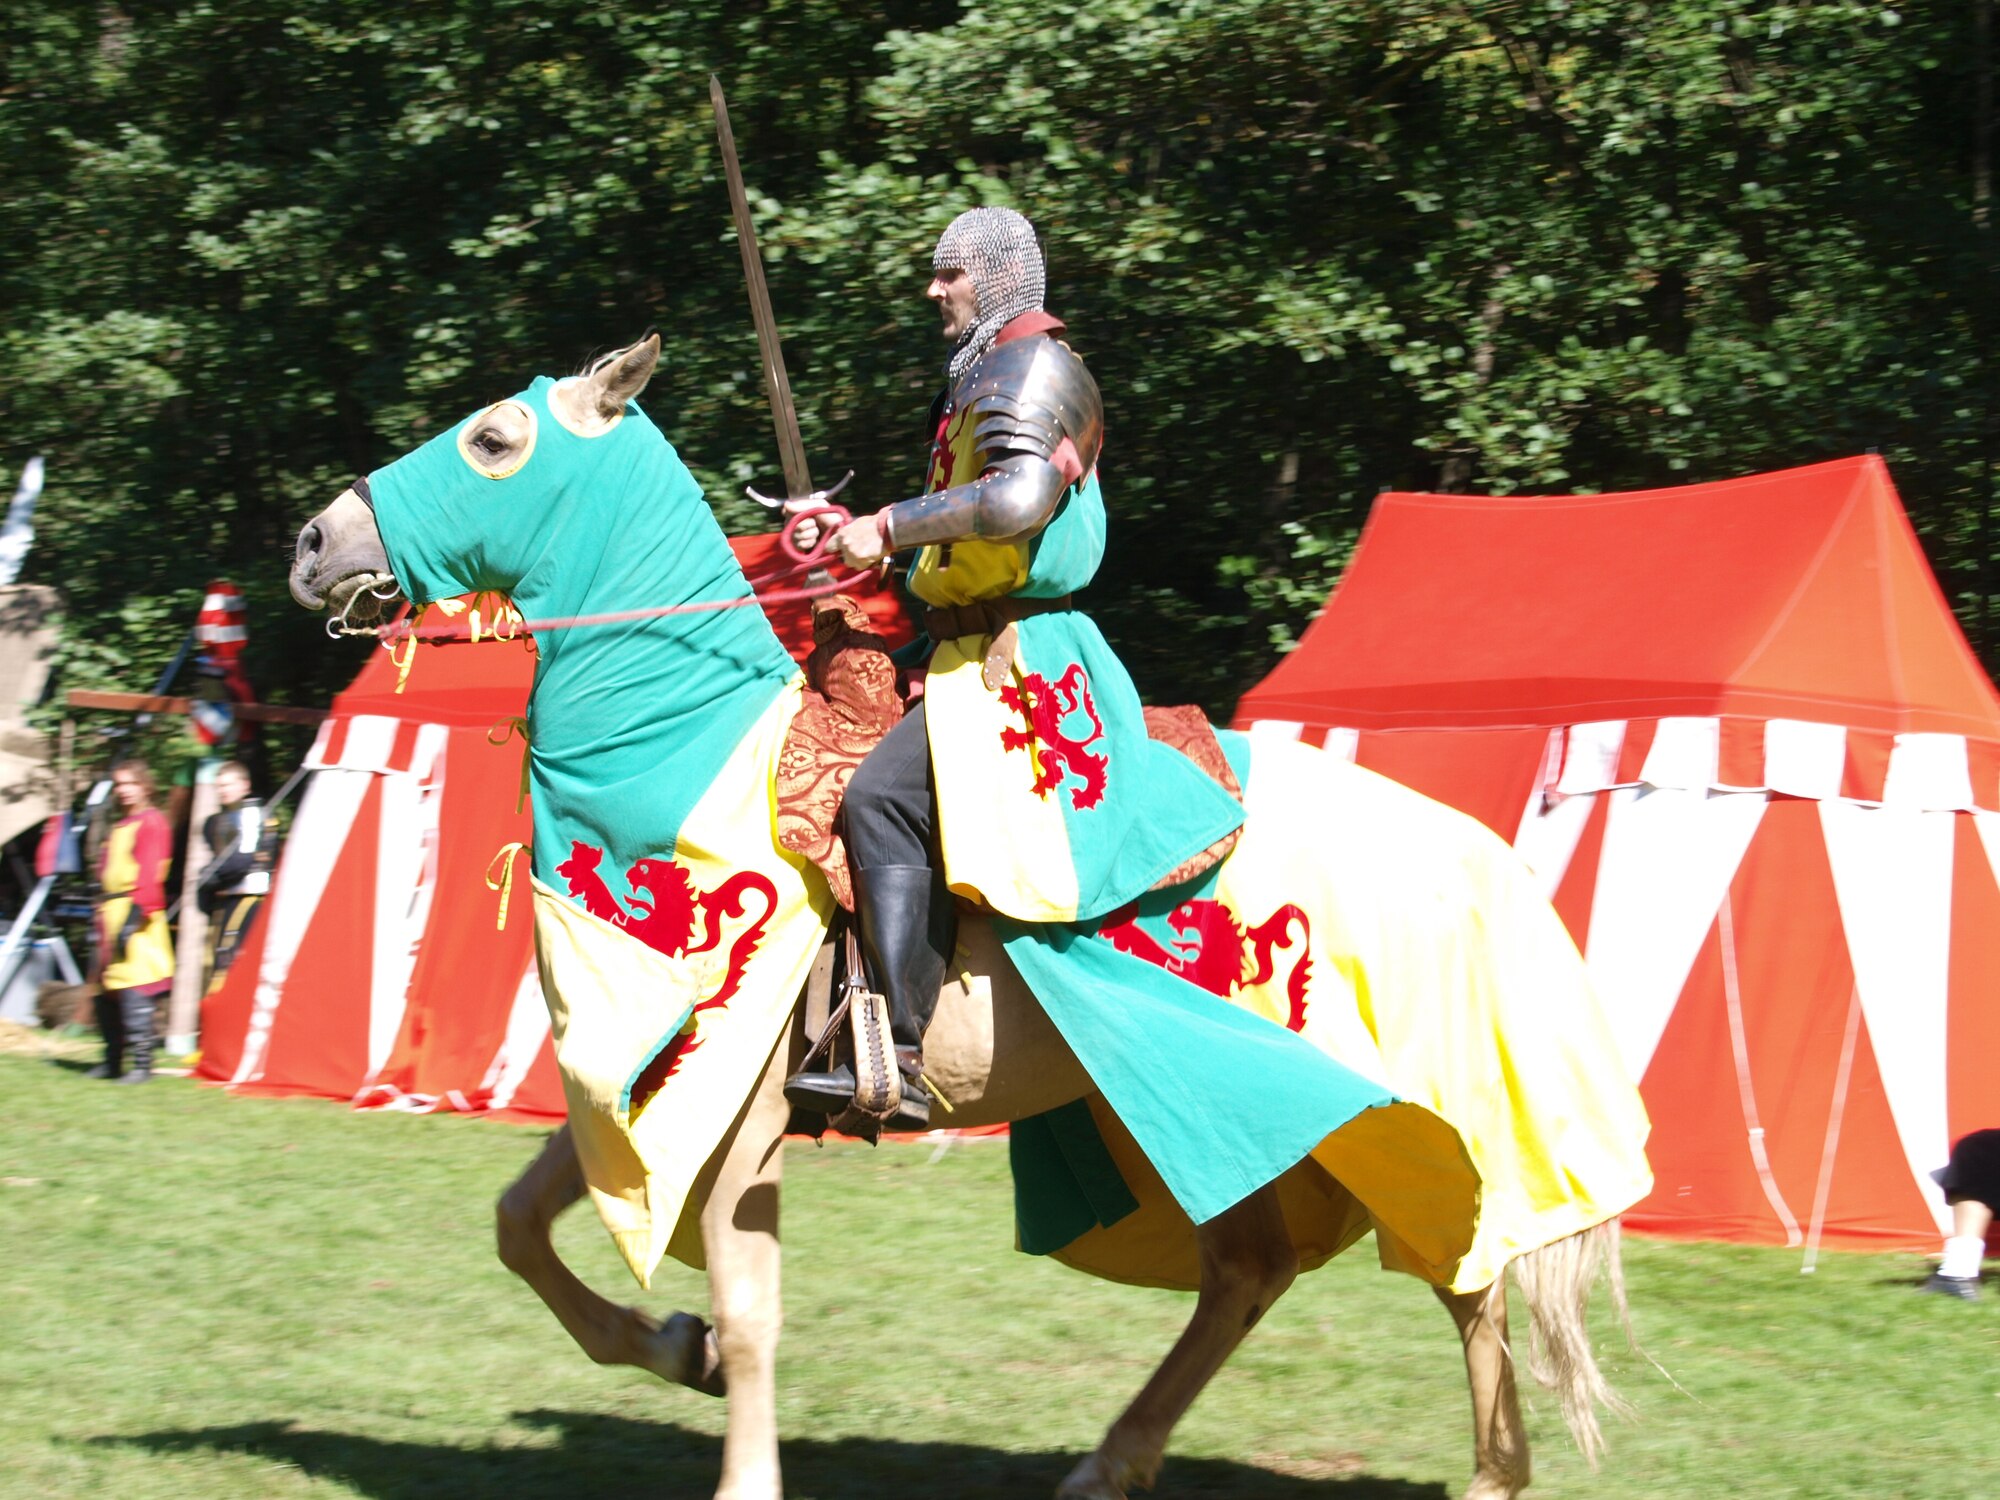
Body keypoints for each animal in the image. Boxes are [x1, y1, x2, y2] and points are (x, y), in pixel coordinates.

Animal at [290, 338, 1648, 1500]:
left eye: (495, 440)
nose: (312, 543)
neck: (689, 752)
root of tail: (1470, 851)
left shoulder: (736, 1102)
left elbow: (750, 1303)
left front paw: (736, 1450)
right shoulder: (652, 1083)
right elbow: (521, 1228)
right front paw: (674, 1347)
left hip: (1393, 1117)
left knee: (1469, 1276)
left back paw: (1487, 1477)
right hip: (1223, 1115)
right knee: (1255, 1272)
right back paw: (1112, 1460)